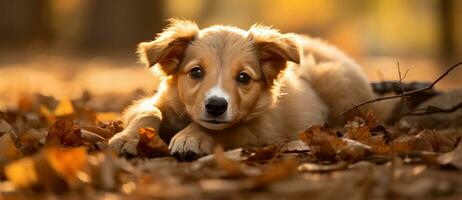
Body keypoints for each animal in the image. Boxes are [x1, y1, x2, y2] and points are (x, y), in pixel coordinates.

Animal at [109, 18, 378, 159]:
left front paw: (190, 137)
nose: (216, 106)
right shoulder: (153, 102)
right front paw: (126, 137)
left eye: (243, 77)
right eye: (196, 72)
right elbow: (149, 113)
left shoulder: (259, 129)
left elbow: (221, 128)